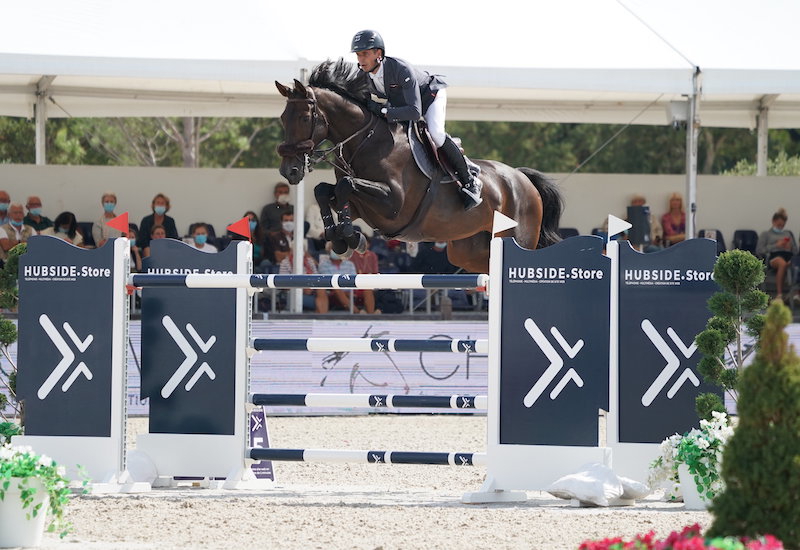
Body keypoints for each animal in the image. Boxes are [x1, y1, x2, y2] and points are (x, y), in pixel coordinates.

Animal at [276, 59, 564, 274]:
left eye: (304, 118)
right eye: (282, 118)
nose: (289, 171)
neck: (365, 140)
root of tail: (523, 180)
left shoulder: (393, 205)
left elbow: (346, 184)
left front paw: (348, 235)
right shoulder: (361, 207)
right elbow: (326, 191)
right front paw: (342, 239)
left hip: (517, 235)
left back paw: (472, 190)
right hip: (469, 251)